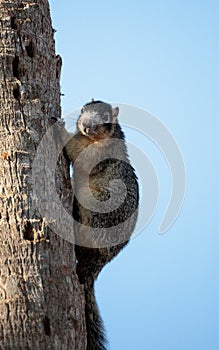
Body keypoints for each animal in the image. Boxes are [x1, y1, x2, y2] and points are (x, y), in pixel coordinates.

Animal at [64, 100, 139, 350]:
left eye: (106, 118)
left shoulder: (98, 154)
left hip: (98, 210)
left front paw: (58, 129)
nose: (86, 126)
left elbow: (77, 153)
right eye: (83, 110)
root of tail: (100, 260)